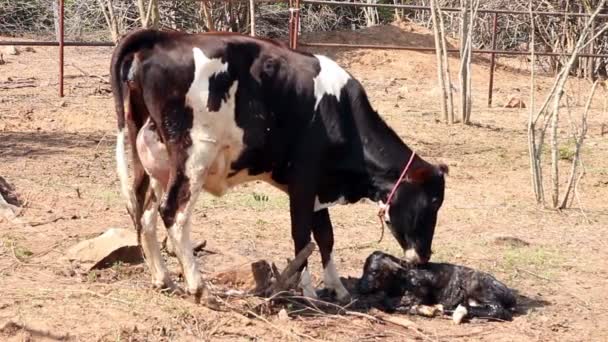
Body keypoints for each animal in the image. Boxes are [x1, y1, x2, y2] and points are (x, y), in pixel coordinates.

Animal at [109, 28, 446, 304]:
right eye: (432, 202)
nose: (425, 256)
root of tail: (164, 37)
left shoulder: (317, 188)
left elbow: (325, 236)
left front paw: (337, 288)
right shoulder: (304, 181)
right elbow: (303, 238)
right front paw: (307, 291)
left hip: (154, 158)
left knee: (145, 213)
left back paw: (163, 279)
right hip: (194, 154)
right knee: (173, 212)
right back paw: (200, 288)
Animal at [358, 251, 516, 324]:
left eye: (374, 271)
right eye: (364, 269)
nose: (360, 286)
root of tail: (509, 294)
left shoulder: (422, 290)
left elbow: (391, 304)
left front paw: (428, 309)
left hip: (479, 287)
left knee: (498, 310)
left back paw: (451, 310)